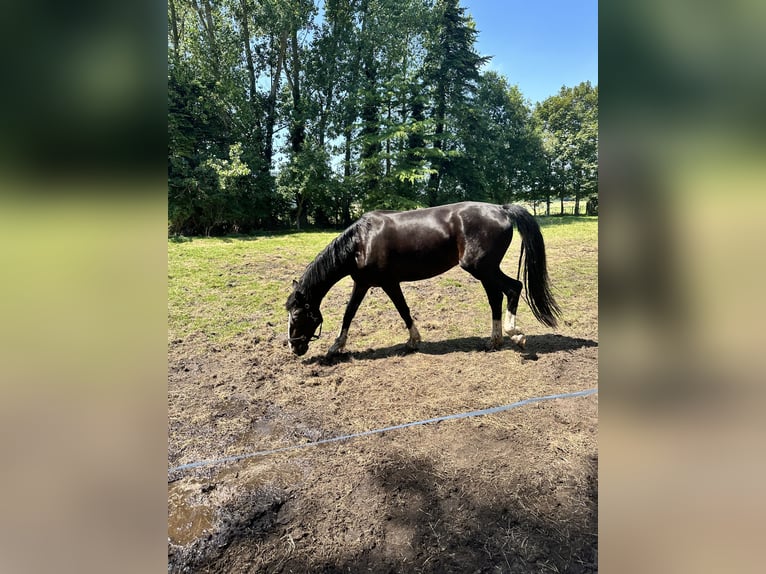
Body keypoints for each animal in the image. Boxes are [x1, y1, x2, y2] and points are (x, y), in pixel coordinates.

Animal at [284, 201, 560, 356]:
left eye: (297, 316)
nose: (294, 348)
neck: (362, 242)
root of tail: (501, 210)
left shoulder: (388, 283)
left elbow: (402, 310)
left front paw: (413, 341)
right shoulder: (362, 283)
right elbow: (349, 313)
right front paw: (336, 347)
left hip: (482, 268)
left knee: (513, 288)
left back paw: (515, 335)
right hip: (485, 270)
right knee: (496, 297)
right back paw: (495, 341)